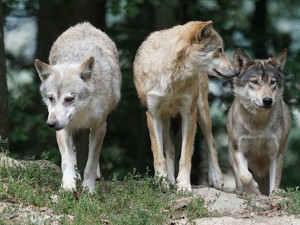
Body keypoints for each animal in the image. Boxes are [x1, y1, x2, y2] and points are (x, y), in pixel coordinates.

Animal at [35, 22, 123, 192]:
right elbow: (67, 160)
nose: (51, 124)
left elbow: (91, 162)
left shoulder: (100, 126)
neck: (81, 113)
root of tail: (84, 24)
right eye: (51, 98)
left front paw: (89, 189)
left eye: (69, 99)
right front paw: (68, 185)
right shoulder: (63, 129)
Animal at [132, 21, 238, 191]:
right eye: (219, 50)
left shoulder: (189, 113)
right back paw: (169, 180)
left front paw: (183, 185)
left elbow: (185, 156)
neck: (172, 75)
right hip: (165, 119)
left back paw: (216, 178)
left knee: (211, 141)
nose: (237, 71)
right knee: (170, 148)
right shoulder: (153, 114)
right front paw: (161, 181)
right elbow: (158, 155)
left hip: (202, 111)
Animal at [227, 48, 290, 195]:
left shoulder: (276, 154)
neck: (258, 124)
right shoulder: (239, 151)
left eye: (273, 82)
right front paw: (254, 191)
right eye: (254, 82)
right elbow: (245, 176)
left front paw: (274, 194)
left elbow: (275, 183)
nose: (267, 100)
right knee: (240, 182)